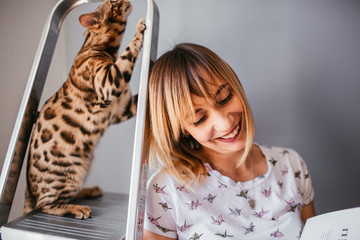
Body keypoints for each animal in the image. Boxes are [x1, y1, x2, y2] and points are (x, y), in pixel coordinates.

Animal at [23, 0, 146, 219]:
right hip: (70, 173)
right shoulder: (110, 83)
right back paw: (76, 208)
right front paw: (140, 30)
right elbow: (128, 55)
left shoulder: (121, 108)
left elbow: (136, 98)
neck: (96, 47)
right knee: (46, 205)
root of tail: (28, 192)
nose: (127, 1)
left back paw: (90, 191)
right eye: (113, 2)